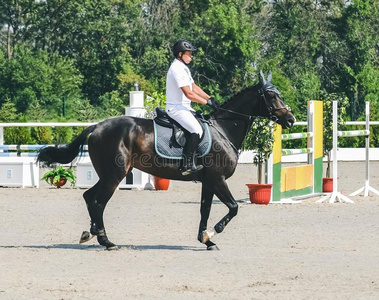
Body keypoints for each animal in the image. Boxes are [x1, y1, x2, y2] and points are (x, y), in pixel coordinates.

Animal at [36, 71, 296, 251]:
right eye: (271, 95)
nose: (291, 119)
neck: (223, 129)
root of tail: (97, 126)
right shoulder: (218, 179)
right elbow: (233, 207)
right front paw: (215, 232)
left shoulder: (208, 181)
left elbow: (205, 209)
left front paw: (206, 240)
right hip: (114, 175)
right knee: (98, 202)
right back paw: (107, 241)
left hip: (109, 174)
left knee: (89, 197)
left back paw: (90, 233)